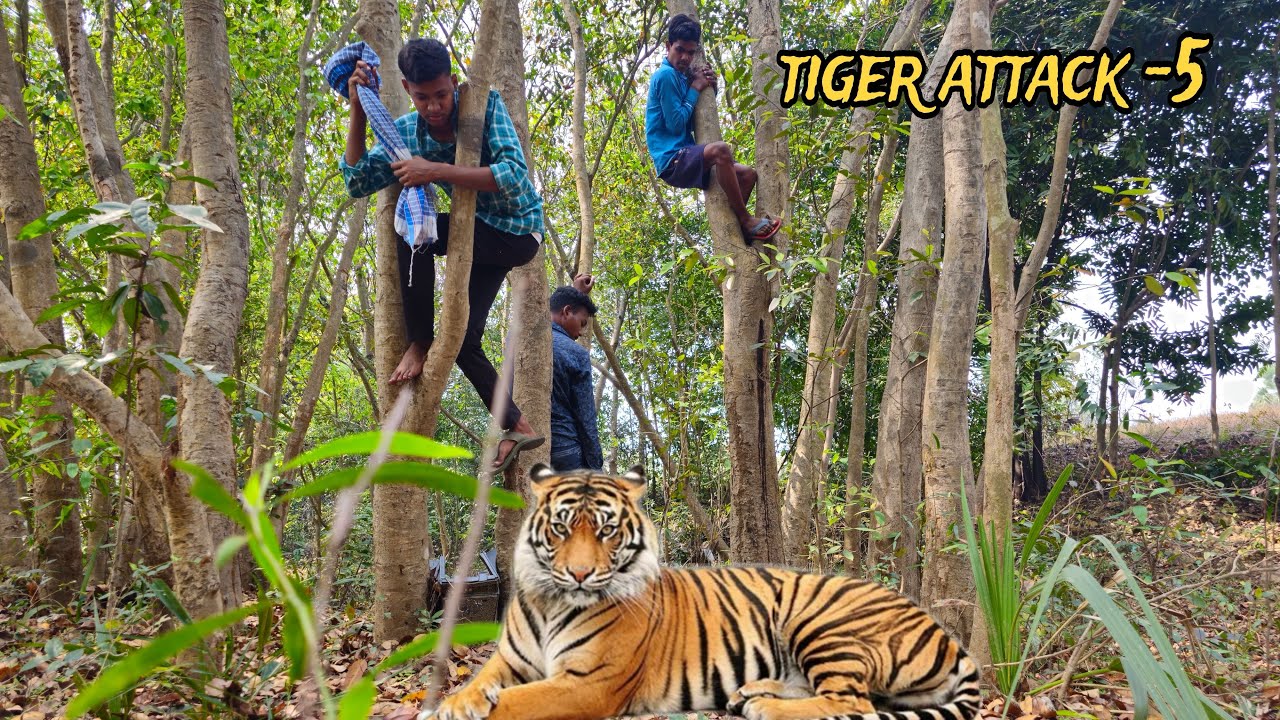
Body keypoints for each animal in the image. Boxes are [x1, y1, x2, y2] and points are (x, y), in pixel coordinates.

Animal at [433, 464, 980, 720]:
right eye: (562, 528)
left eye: (606, 531)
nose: (581, 575)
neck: (552, 600)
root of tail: (945, 632)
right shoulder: (509, 660)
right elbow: (481, 683)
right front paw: (457, 700)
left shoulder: (590, 682)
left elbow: (513, 703)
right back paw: (751, 691)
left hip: (820, 618)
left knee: (853, 701)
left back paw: (764, 706)